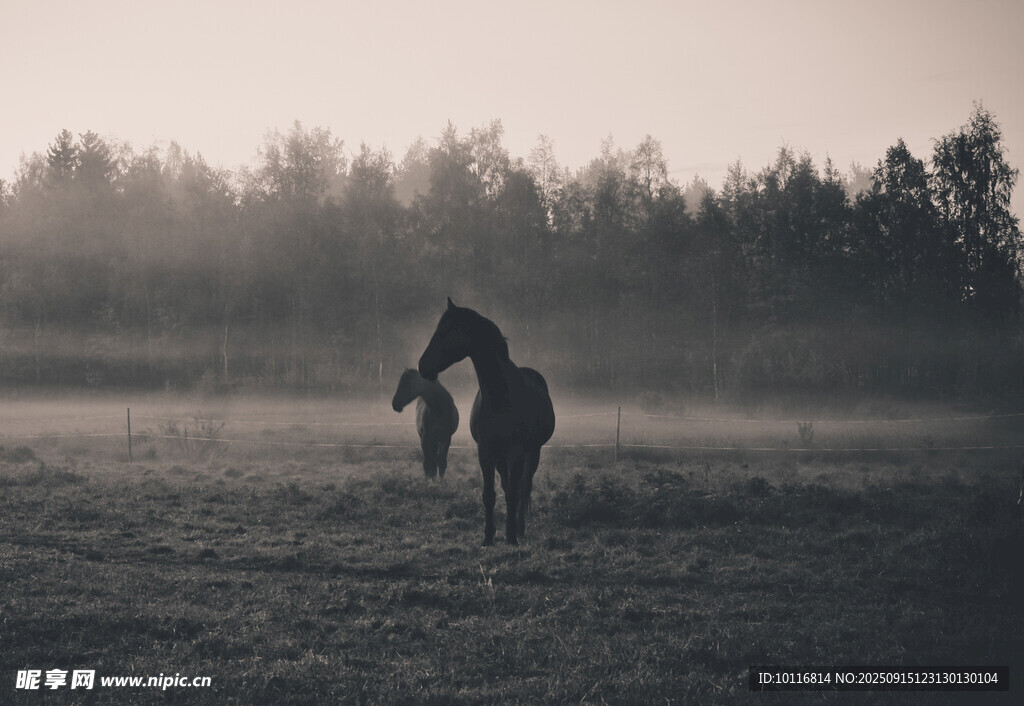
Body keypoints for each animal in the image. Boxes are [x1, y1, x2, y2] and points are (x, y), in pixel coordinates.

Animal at [418, 298, 555, 545]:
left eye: (445, 331)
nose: (422, 366)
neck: (500, 396)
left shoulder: (516, 451)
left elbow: (513, 492)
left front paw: (511, 537)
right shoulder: (486, 450)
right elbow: (489, 494)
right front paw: (488, 536)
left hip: (532, 452)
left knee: (523, 487)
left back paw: (520, 529)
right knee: (508, 486)